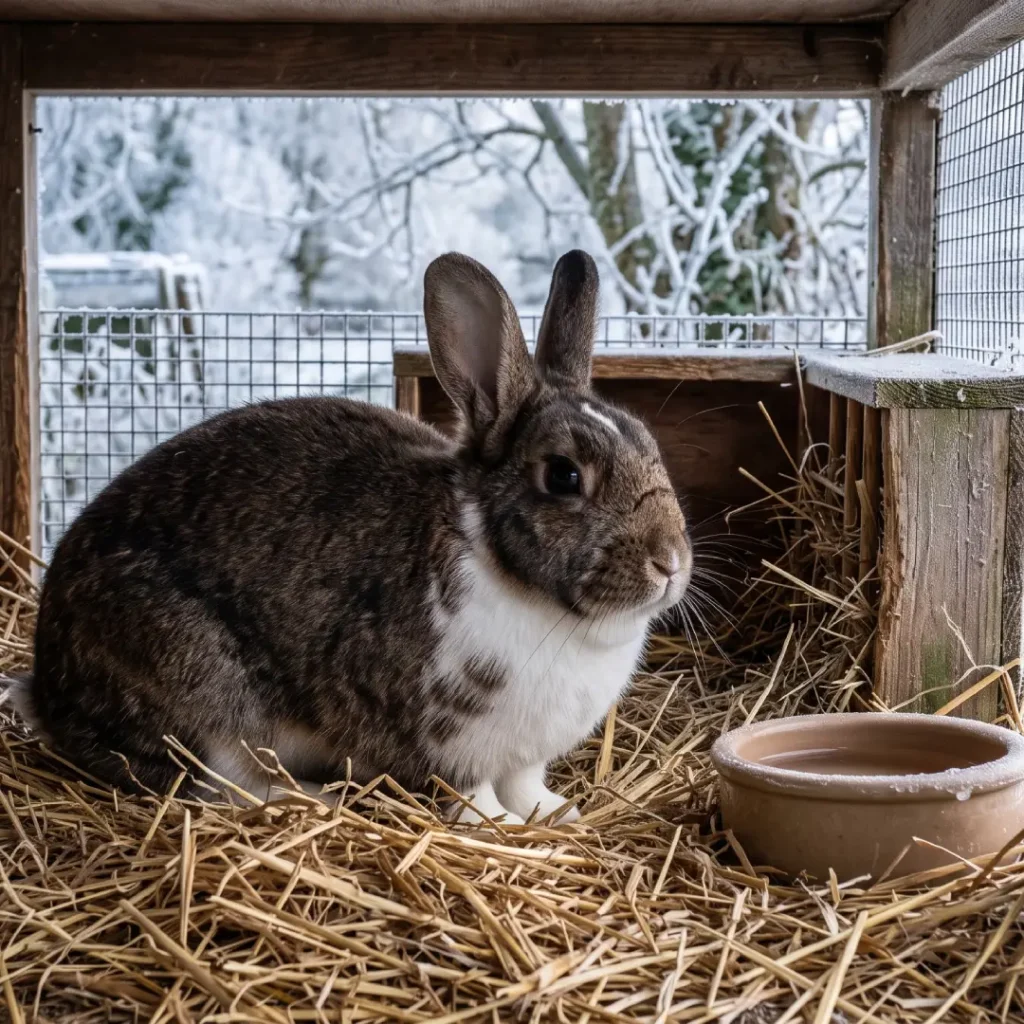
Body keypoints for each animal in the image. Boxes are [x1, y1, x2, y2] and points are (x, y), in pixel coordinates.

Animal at [10, 249, 691, 824]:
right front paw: (496, 826)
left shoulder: (524, 756)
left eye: (649, 443)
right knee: (224, 785)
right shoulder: (448, 744)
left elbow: (527, 785)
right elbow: (469, 795)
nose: (670, 562)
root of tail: (48, 688)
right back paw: (315, 794)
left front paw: (555, 815)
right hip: (203, 697)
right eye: (564, 475)